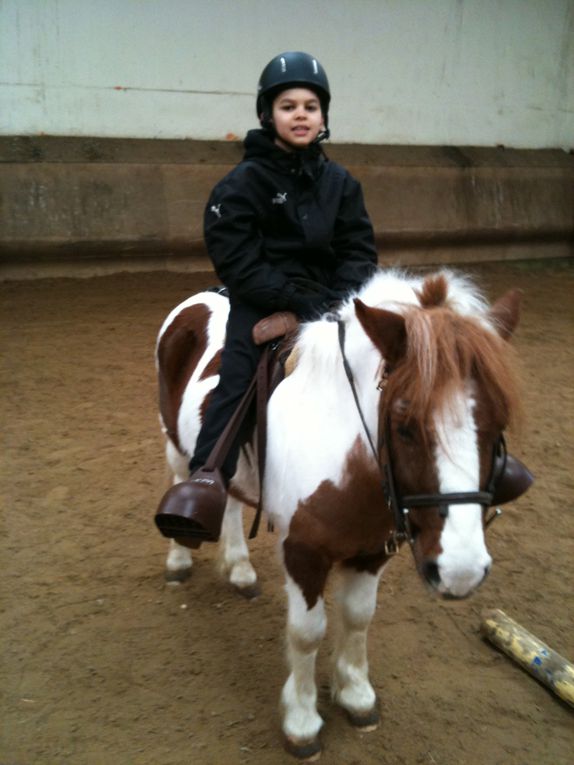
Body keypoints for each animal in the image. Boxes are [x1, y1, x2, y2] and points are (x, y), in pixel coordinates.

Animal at [153, 268, 528, 760]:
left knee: (231, 500)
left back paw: (239, 570)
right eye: (404, 425)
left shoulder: (373, 550)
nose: (460, 571)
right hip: (176, 443)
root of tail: (205, 296)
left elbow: (358, 616)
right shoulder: (302, 552)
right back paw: (179, 558)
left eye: (498, 422)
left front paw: (355, 693)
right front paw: (301, 720)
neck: (342, 447)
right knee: (186, 478)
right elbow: (307, 631)